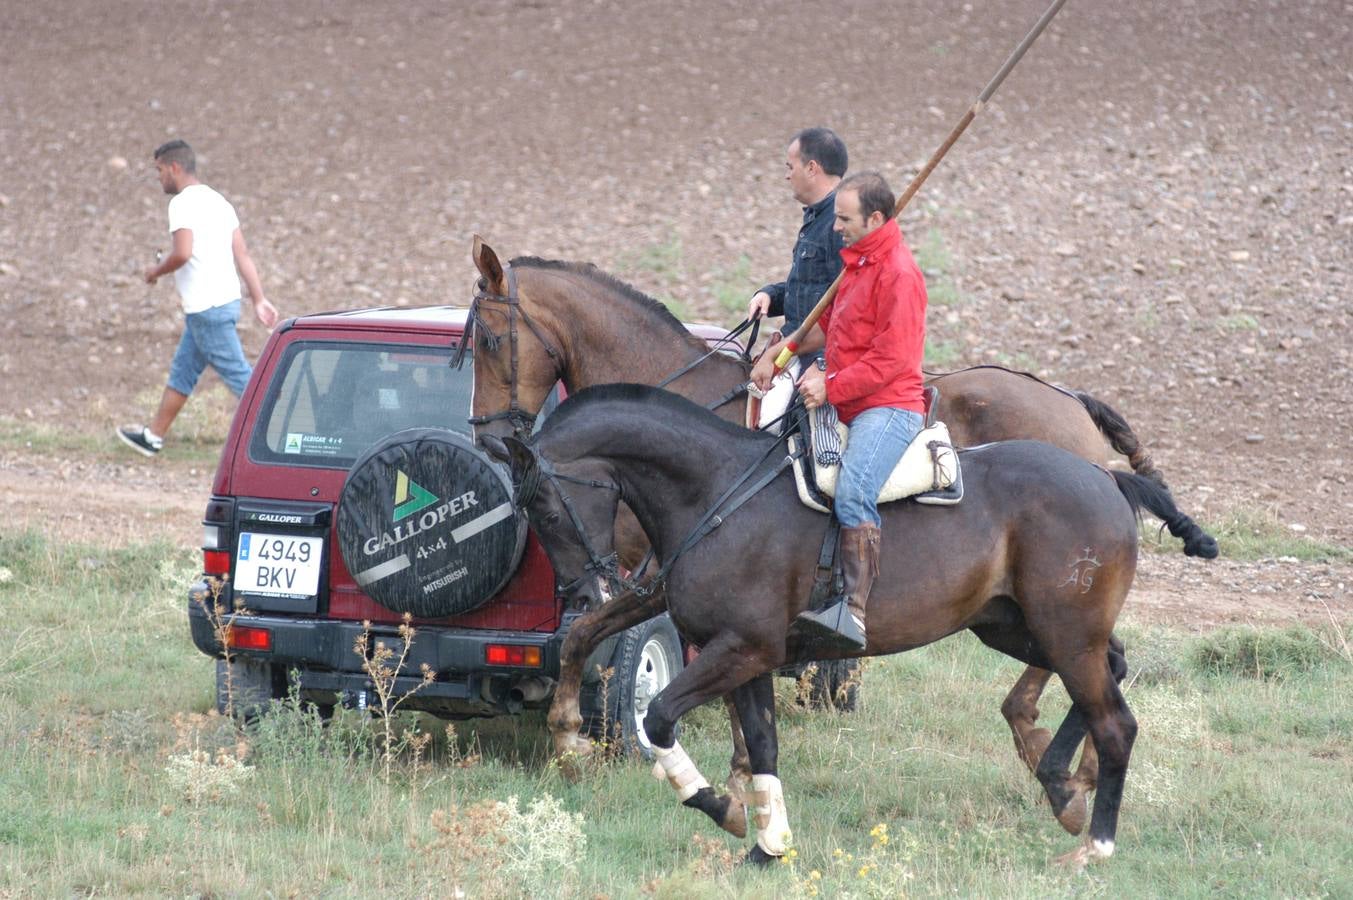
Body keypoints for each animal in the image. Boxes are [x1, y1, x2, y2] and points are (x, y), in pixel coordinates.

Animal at [465, 236, 1217, 795]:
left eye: (489, 342)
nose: (487, 437)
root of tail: (1073, 407)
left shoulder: (645, 572)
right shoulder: (659, 578)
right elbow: (585, 633)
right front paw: (572, 729)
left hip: (1046, 601)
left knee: (1074, 664)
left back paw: (1037, 738)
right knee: (1095, 664)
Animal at [487, 384, 1174, 866]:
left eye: (545, 506)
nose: (582, 589)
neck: (716, 491)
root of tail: (1107, 479)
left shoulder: (742, 648)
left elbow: (657, 717)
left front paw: (720, 805)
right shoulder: (742, 651)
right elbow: (759, 743)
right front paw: (767, 846)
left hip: (1063, 632)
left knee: (1116, 720)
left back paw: (1092, 844)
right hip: (1019, 626)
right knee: (1112, 668)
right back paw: (1064, 784)